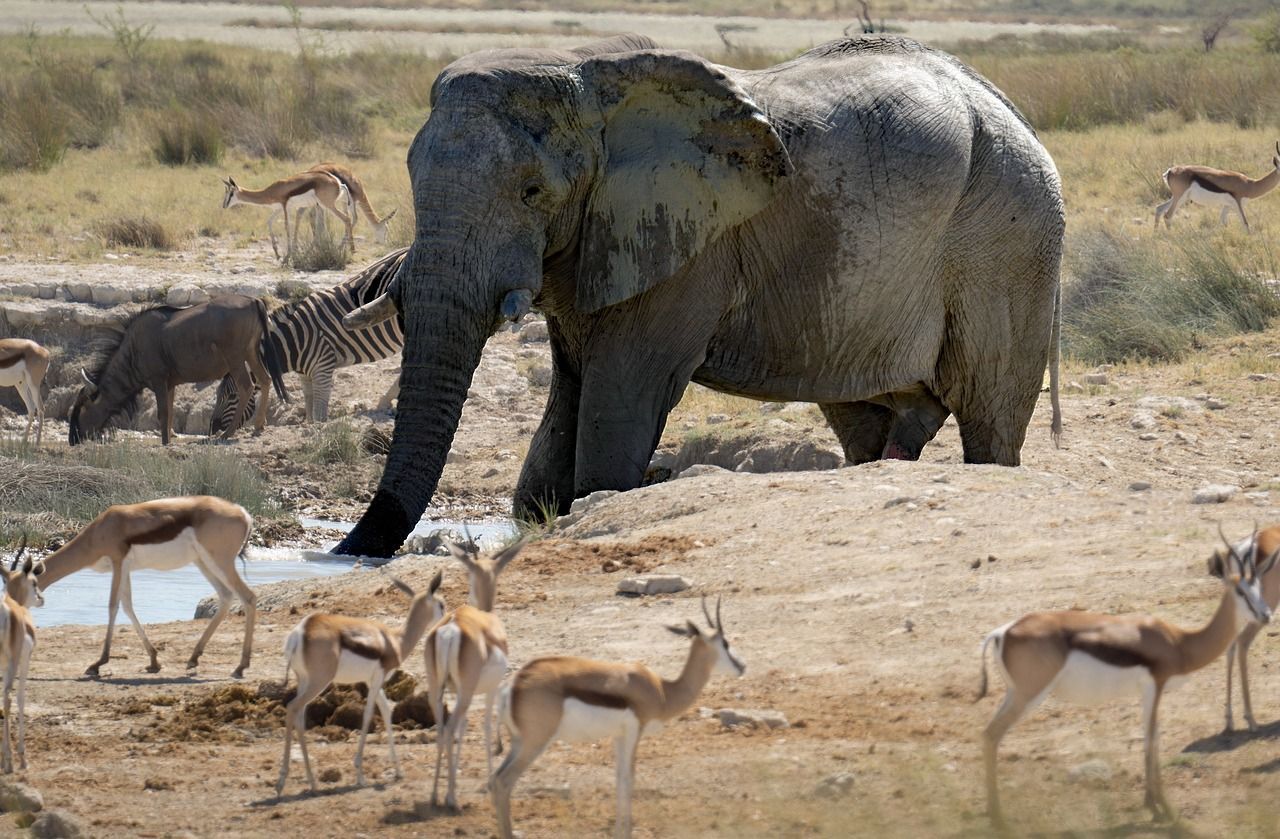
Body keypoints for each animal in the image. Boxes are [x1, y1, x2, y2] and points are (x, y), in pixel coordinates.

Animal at [208, 247, 404, 432]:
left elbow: (319, 409)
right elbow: (309, 403)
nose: (212, 430)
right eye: (218, 396)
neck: (295, 341)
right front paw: (309, 425)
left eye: (232, 397)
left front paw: (320, 429)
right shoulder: (305, 374)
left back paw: (386, 400)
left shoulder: (323, 366)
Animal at [330, 34, 1059, 558]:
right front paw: (545, 513)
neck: (589, 78)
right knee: (866, 419)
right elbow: (564, 409)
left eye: (532, 191)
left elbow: (623, 399)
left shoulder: (685, 247)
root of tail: (1011, 110)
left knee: (989, 422)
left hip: (1009, 238)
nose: (344, 555)